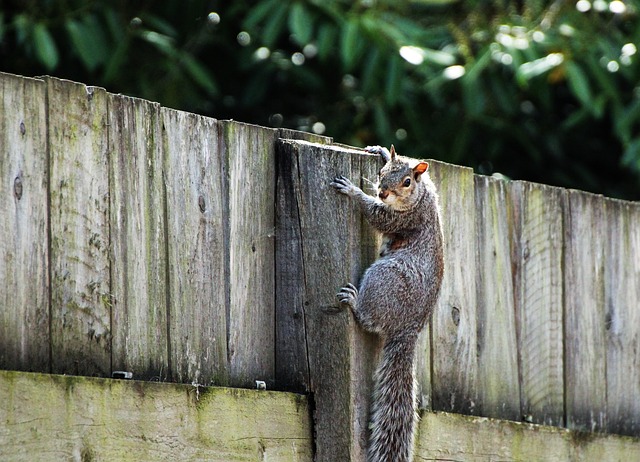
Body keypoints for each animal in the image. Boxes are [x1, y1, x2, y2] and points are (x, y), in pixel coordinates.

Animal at [328, 144, 442, 462]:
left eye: (407, 182)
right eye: (382, 173)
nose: (381, 192)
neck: (421, 195)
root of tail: (409, 328)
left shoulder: (406, 218)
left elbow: (378, 216)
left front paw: (353, 191)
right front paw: (379, 150)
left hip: (384, 279)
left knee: (368, 318)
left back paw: (355, 302)